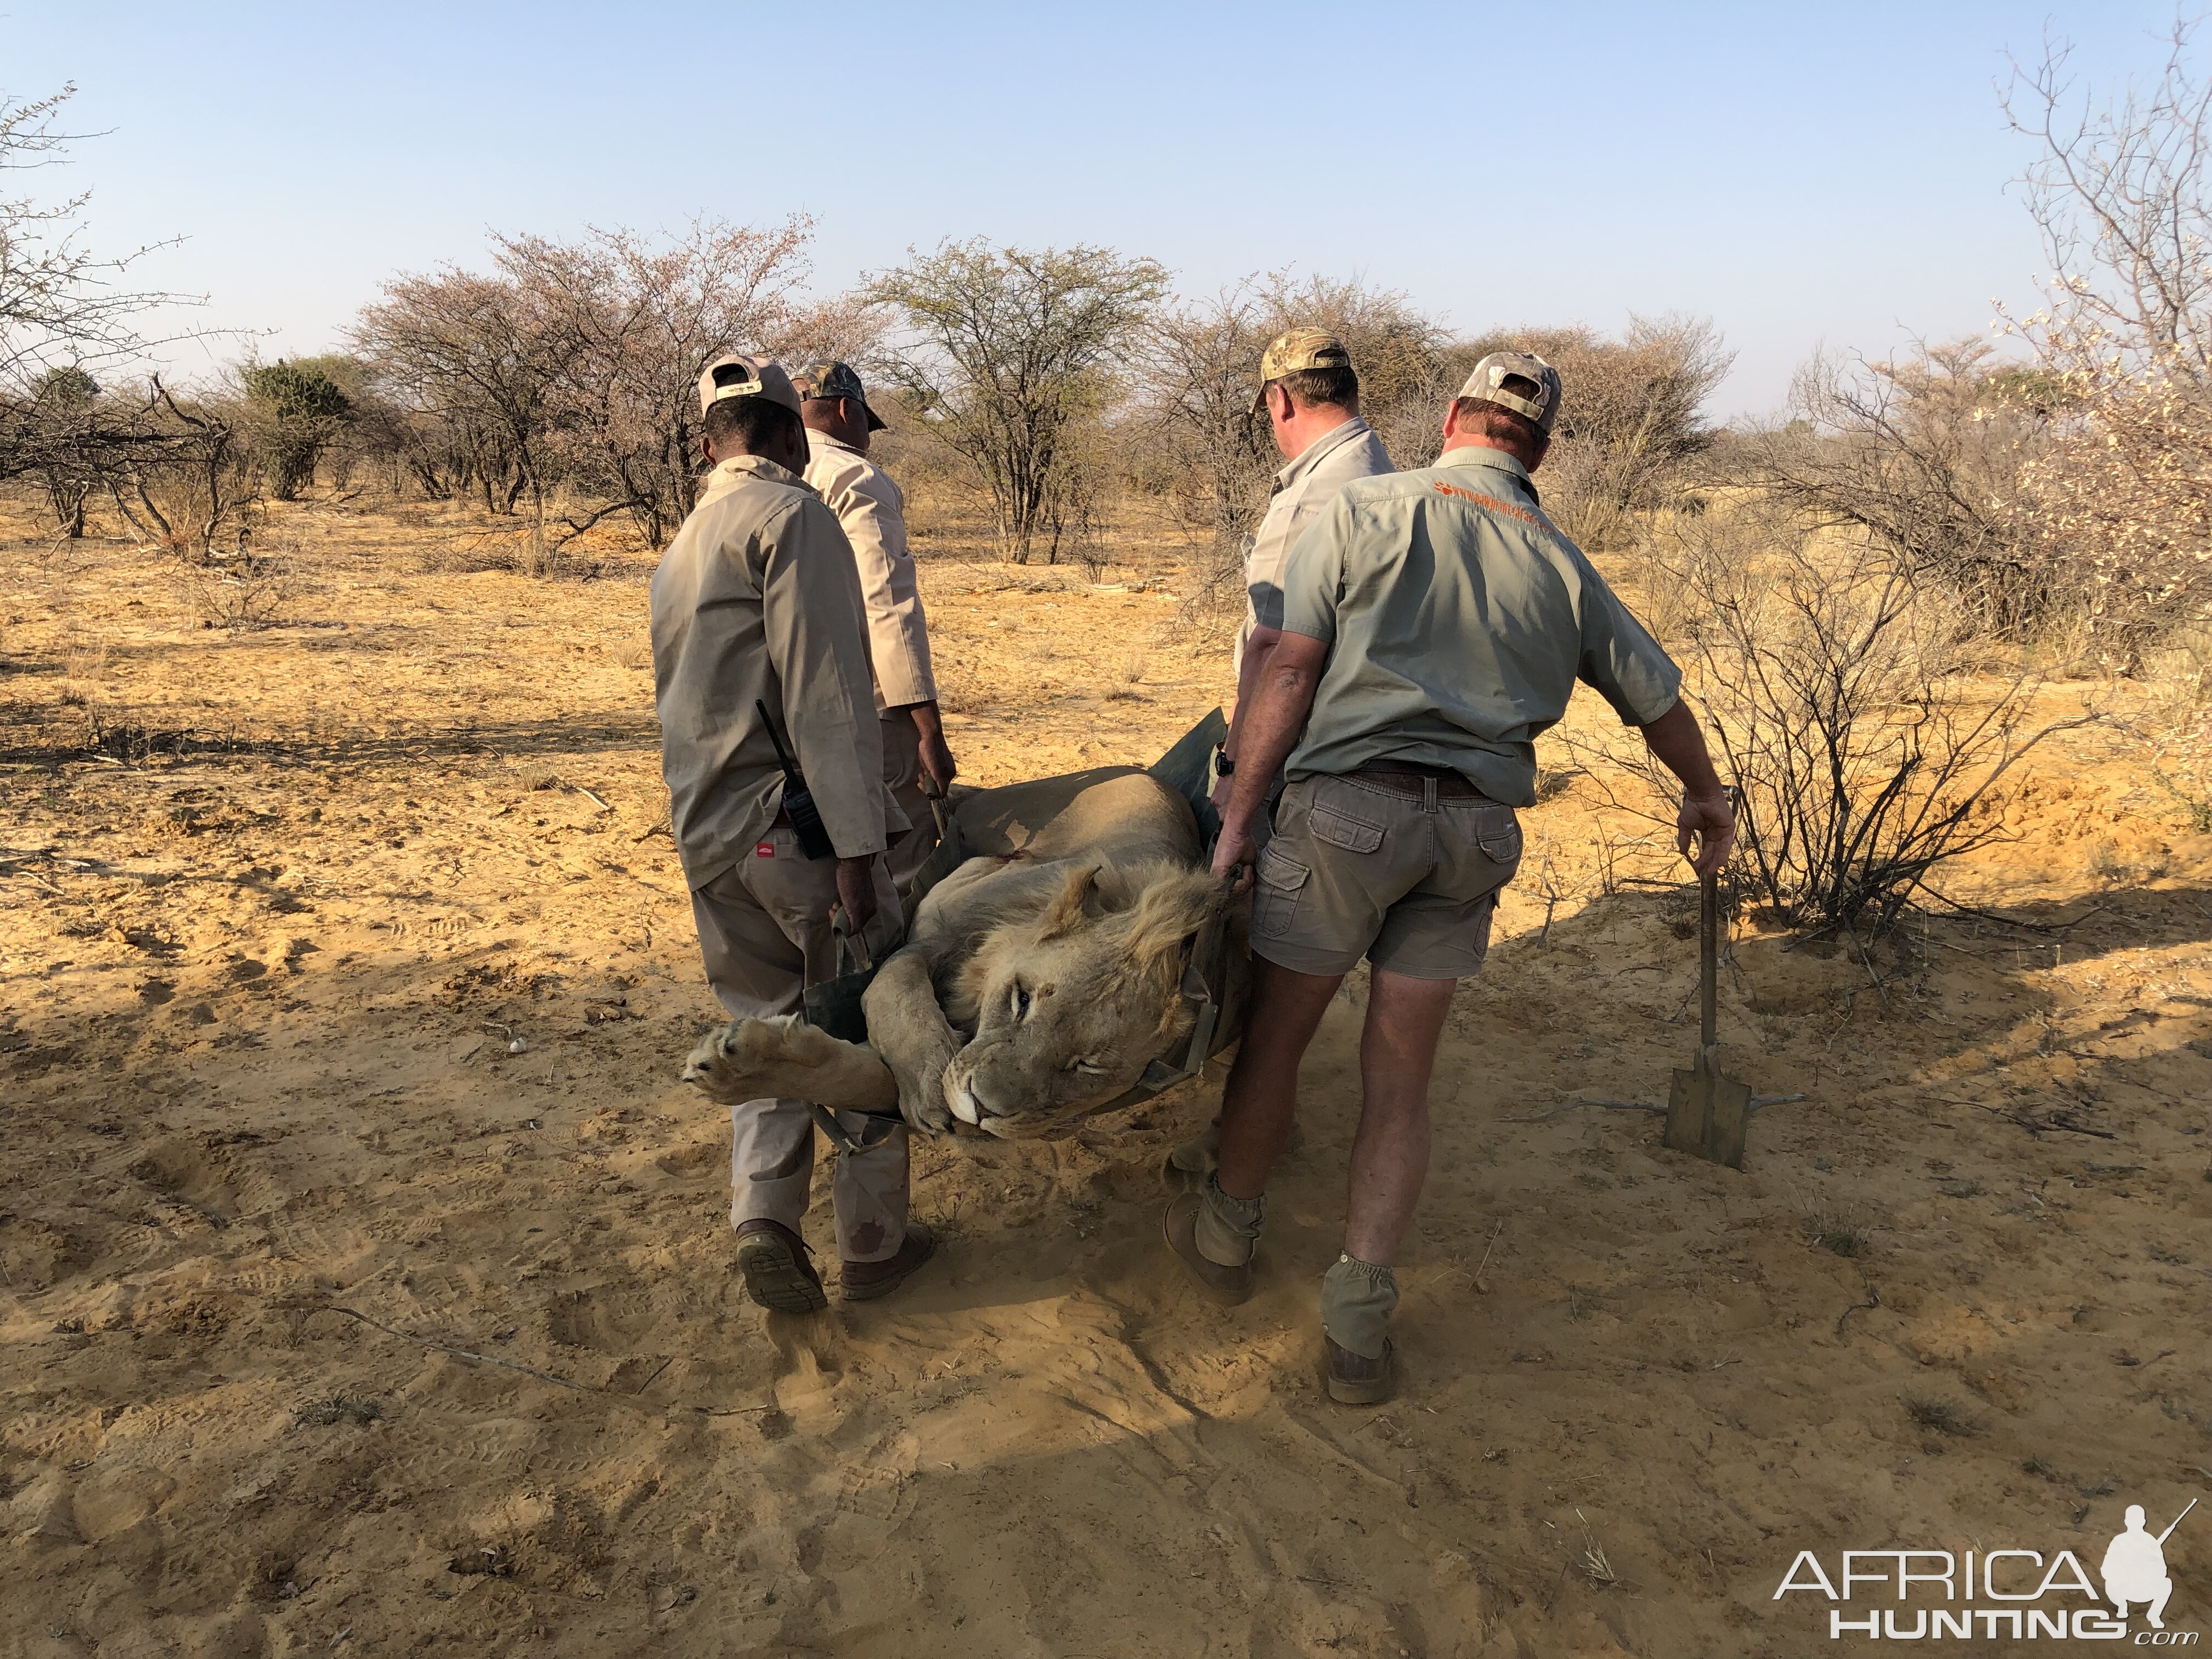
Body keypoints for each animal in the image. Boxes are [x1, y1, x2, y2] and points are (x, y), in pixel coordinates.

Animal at [681, 770, 1238, 1141]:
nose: (980, 1109)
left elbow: (871, 1080)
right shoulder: (932, 930)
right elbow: (899, 994)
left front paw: (739, 1064)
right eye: (1021, 999)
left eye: (1088, 1066)